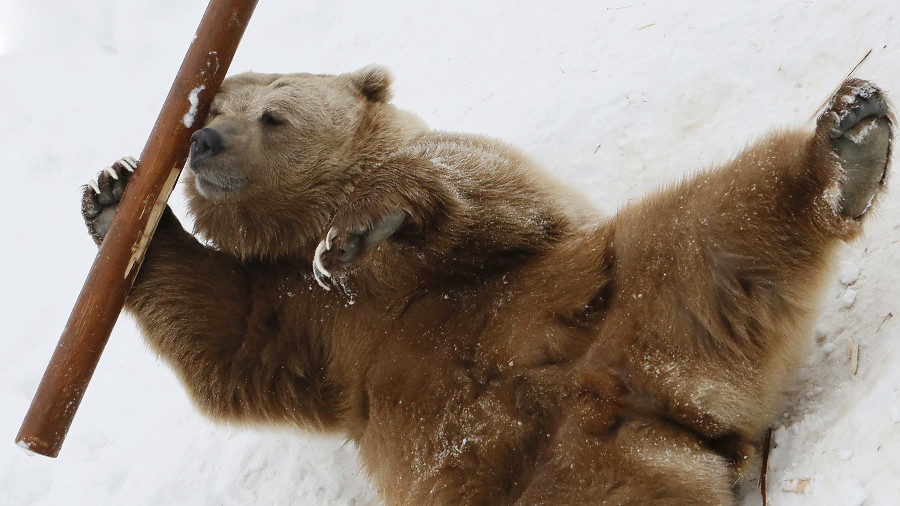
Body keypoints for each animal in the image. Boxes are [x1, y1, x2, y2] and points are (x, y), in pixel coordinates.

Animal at [81, 67, 892, 504]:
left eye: (272, 114)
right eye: (214, 107)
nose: (204, 141)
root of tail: (640, 408)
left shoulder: (467, 235)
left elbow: (488, 196)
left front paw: (375, 218)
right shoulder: (315, 327)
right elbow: (232, 335)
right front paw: (114, 198)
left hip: (627, 293)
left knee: (717, 227)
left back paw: (847, 140)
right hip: (530, 473)